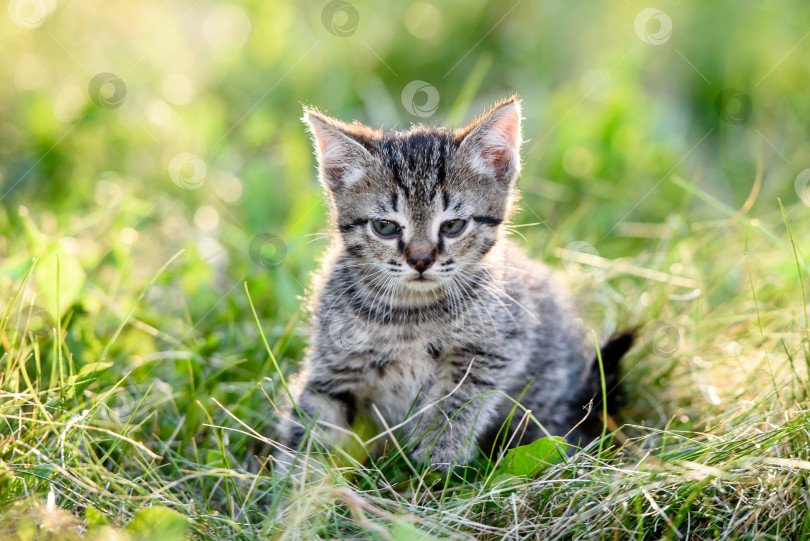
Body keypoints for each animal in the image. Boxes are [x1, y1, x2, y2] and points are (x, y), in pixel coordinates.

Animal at [276, 98, 632, 472]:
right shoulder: (333, 365)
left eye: (453, 226)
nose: (420, 260)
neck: (410, 314)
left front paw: (438, 452)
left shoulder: (495, 347)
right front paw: (297, 480)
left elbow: (456, 397)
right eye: (386, 227)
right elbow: (312, 419)